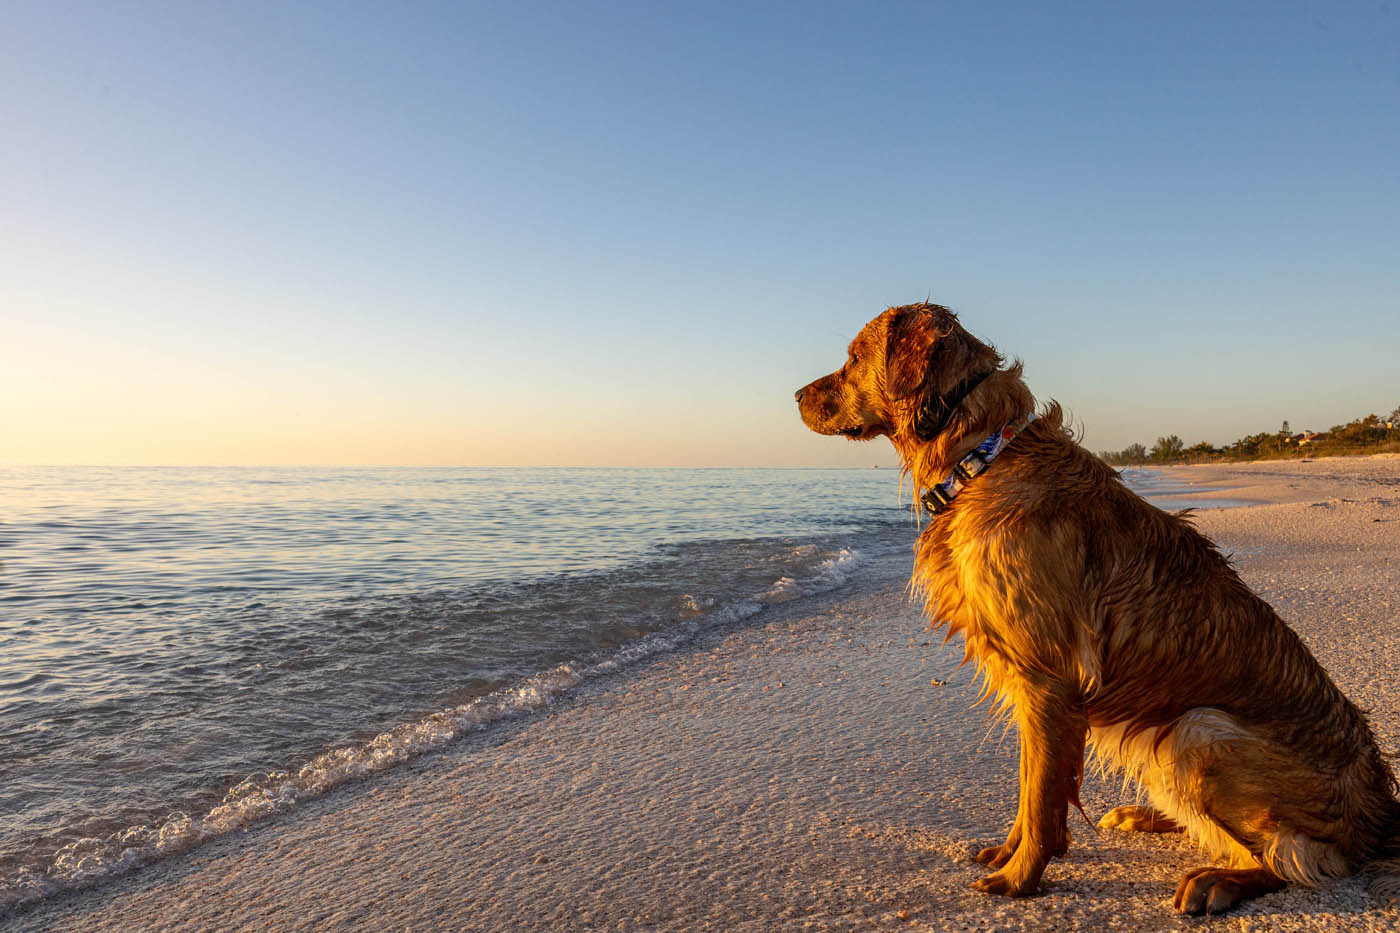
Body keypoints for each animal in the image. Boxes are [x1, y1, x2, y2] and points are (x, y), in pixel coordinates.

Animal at [800, 301, 1400, 913]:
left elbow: (1042, 800)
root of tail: (1383, 810)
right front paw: (1010, 853)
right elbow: (1031, 788)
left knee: (1293, 858)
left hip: (1197, 729)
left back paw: (1218, 880)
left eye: (854, 357)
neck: (984, 457)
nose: (797, 395)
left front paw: (1021, 878)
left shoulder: (1048, 678)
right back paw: (1144, 816)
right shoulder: (1031, 686)